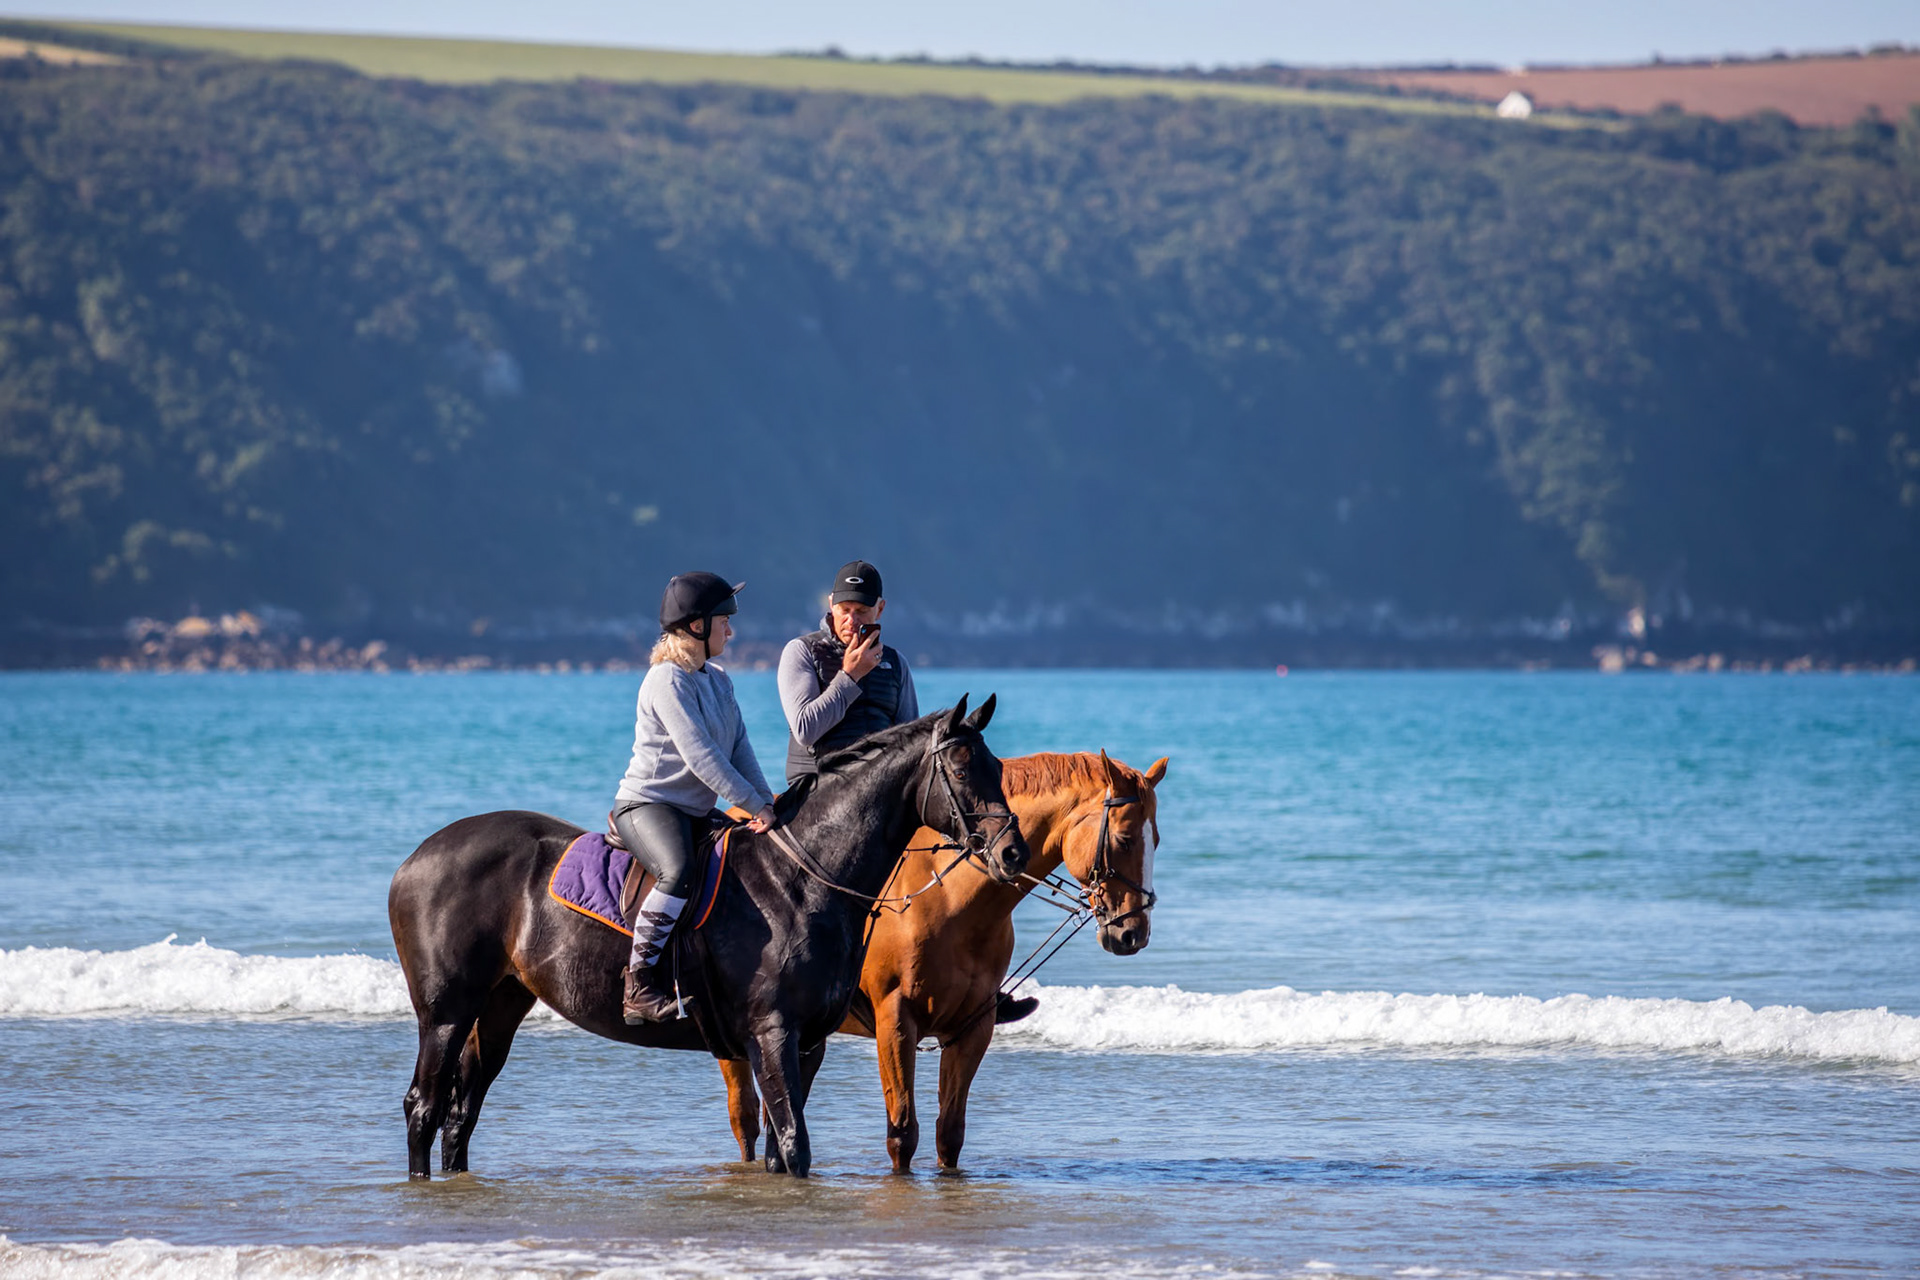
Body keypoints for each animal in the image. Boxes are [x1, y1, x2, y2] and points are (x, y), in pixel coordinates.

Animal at [387, 695, 1028, 1180]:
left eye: (998, 769)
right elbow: (794, 1146)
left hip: (500, 1004)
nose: (1012, 854)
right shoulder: (773, 1032)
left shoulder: (805, 1043)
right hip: (446, 1012)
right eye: (963, 771)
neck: (800, 876)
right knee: (424, 1106)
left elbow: (777, 1150)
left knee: (461, 1113)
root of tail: (415, 859)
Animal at [716, 749, 1167, 1172]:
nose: (1133, 934)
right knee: (744, 1118)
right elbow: (902, 1133)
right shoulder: (895, 1021)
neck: (951, 898)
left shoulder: (972, 1027)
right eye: (1125, 839)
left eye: (1157, 840)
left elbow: (949, 1133)